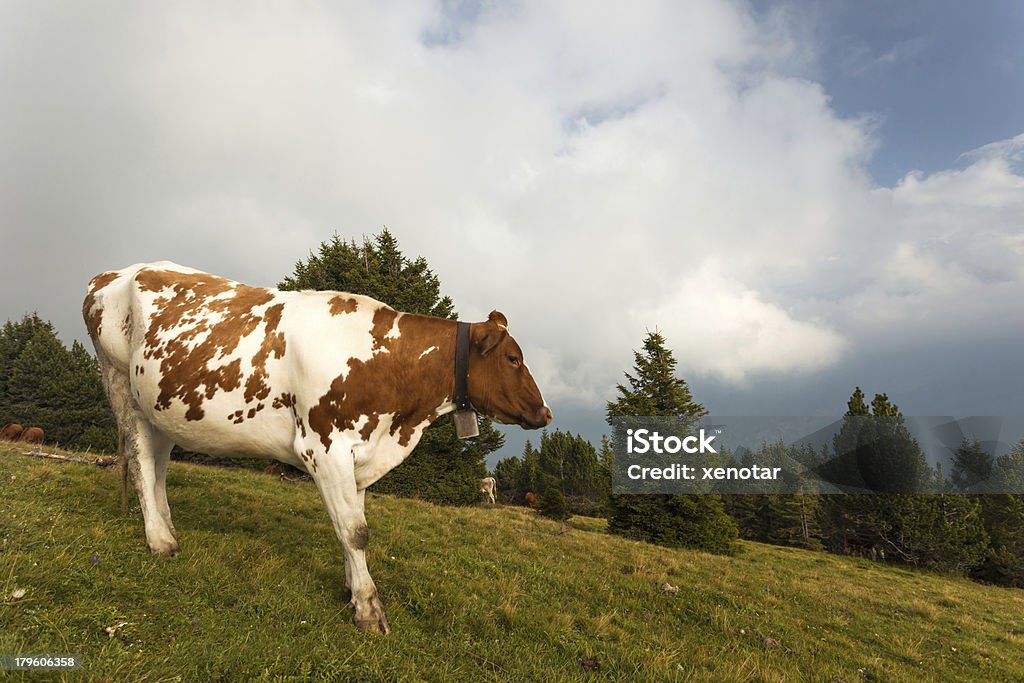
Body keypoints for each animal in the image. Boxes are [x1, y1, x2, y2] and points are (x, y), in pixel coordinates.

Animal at [82, 259, 552, 634]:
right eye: (513, 358)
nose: (546, 412)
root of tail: (117, 271)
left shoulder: (360, 452)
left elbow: (351, 525)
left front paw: (350, 587)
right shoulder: (324, 446)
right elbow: (357, 531)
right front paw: (368, 609)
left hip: (159, 405)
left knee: (158, 463)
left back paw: (167, 528)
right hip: (120, 382)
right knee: (141, 462)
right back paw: (160, 541)